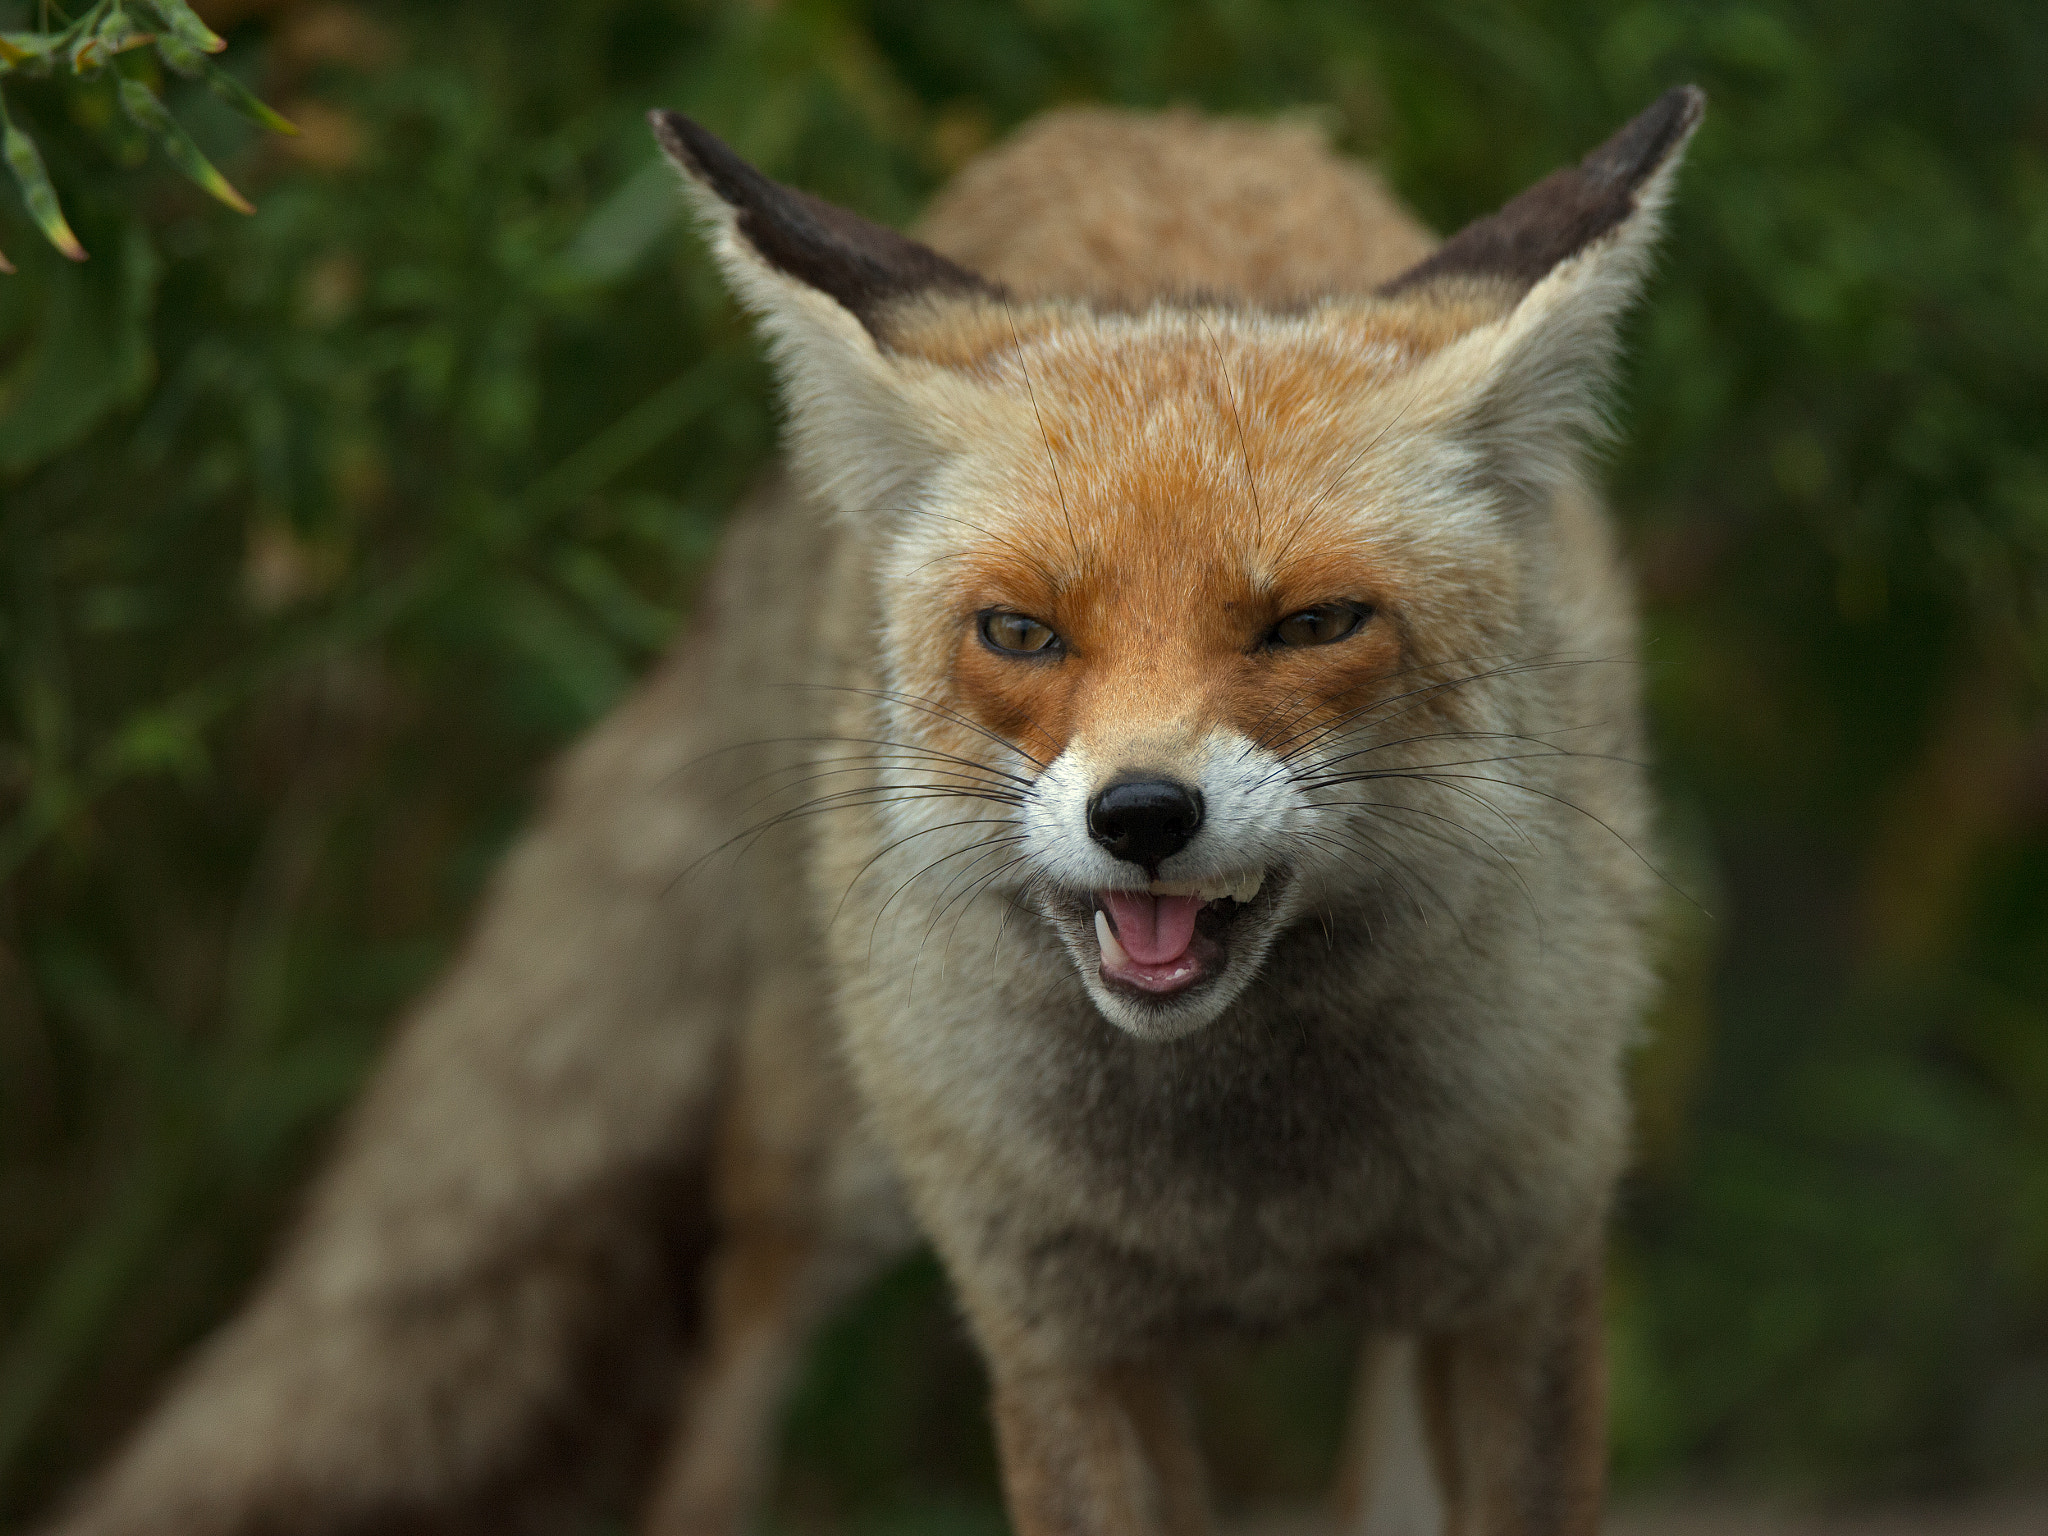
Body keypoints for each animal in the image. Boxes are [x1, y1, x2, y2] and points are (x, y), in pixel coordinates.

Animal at [34, 90, 1702, 1536]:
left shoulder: (1522, 1283)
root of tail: (1153, 123)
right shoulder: (1054, 1336)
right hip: (816, 1159)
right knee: (722, 1393)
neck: (1245, 1201)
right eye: (1020, 633)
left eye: (1314, 626)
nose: (1142, 815)